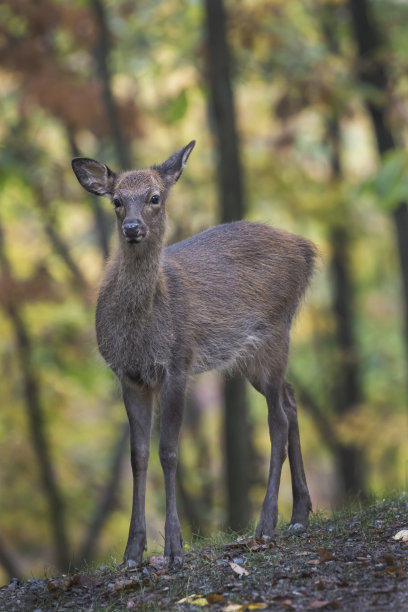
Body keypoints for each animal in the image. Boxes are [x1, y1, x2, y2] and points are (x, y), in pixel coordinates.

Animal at [71, 141, 316, 568]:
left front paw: (174, 547)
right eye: (116, 200)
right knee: (291, 398)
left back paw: (267, 522)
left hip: (274, 332)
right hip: (251, 353)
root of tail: (308, 250)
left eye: (154, 197)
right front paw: (133, 551)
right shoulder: (129, 375)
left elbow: (169, 451)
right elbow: (138, 455)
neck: (142, 326)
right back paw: (300, 513)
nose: (132, 228)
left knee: (278, 419)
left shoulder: (178, 363)